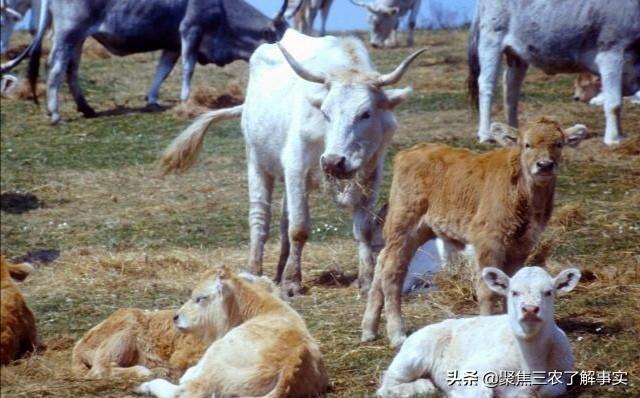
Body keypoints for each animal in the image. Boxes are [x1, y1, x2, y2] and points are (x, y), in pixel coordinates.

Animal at [2, 0, 292, 123]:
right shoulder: (190, 30)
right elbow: (187, 68)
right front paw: (186, 101)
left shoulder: (172, 43)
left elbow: (163, 70)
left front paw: (152, 100)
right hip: (68, 31)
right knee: (56, 67)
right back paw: (55, 113)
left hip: (79, 37)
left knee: (71, 68)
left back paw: (86, 108)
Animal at [138, 266, 328, 398]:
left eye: (201, 298)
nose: (176, 317)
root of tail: (294, 358)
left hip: (215, 360)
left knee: (186, 391)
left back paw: (147, 385)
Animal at [161, 29, 424, 296]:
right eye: (325, 113)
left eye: (365, 113)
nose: (333, 162)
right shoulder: (297, 167)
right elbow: (299, 228)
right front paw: (292, 282)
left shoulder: (372, 172)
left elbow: (364, 230)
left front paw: (366, 281)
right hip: (256, 162)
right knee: (260, 219)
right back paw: (255, 270)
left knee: (282, 222)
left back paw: (279, 270)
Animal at [360, 116, 584, 346]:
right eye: (527, 144)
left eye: (559, 144)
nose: (545, 165)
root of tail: (410, 152)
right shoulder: (488, 241)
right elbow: (487, 290)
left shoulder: (522, 245)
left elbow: (510, 286)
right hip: (403, 226)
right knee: (392, 274)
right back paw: (397, 334)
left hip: (417, 231)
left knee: (381, 263)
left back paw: (369, 330)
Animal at [378, 264, 584, 398]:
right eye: (513, 292)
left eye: (548, 292)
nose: (530, 309)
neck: (530, 364)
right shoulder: (472, 372)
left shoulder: (562, 375)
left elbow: (550, 390)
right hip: (413, 355)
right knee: (386, 386)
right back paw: (423, 385)